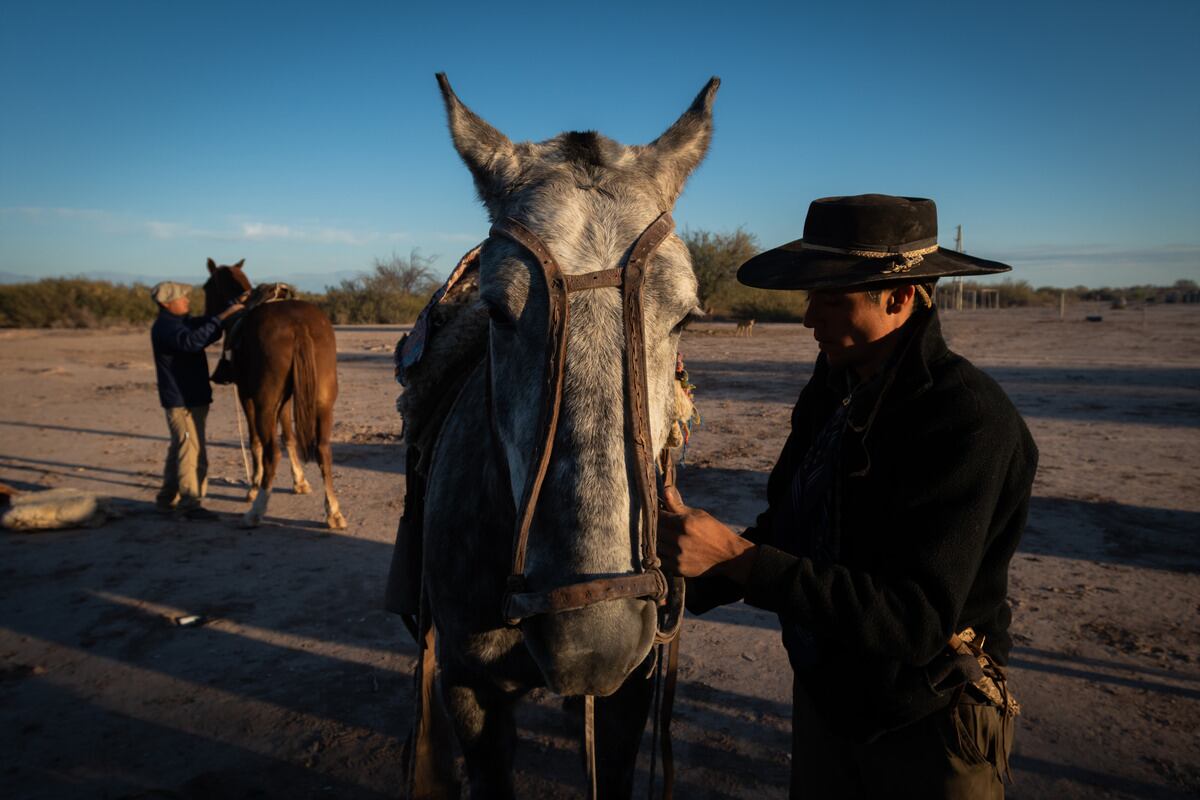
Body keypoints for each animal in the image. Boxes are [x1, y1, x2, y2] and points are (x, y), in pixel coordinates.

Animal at [202, 260, 348, 527]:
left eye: (207, 287)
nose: (208, 314)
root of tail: (298, 324)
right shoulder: (286, 399)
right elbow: (289, 436)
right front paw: (300, 482)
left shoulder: (246, 396)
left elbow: (255, 441)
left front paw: (253, 487)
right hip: (322, 402)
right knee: (323, 450)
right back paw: (333, 512)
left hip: (265, 402)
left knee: (272, 452)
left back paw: (256, 510)